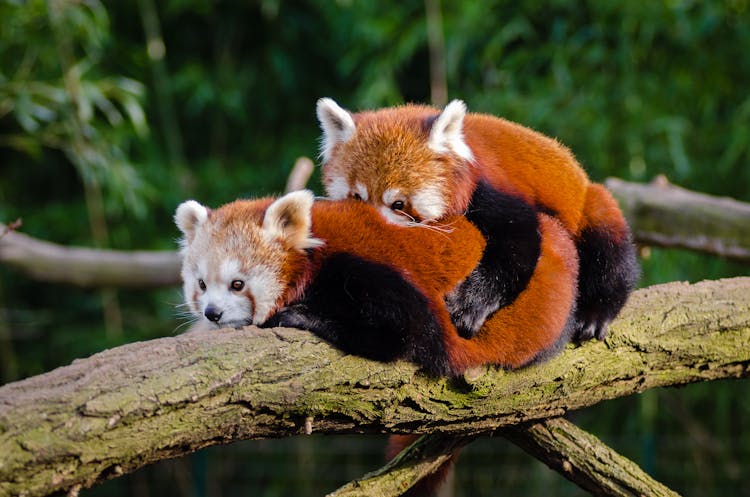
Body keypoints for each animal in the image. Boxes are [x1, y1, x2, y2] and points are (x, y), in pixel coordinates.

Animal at [318, 99, 640, 342]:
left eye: (398, 204)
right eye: (357, 197)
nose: (373, 229)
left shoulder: (490, 190)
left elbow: (515, 249)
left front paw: (470, 306)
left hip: (591, 205)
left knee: (609, 248)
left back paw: (596, 313)